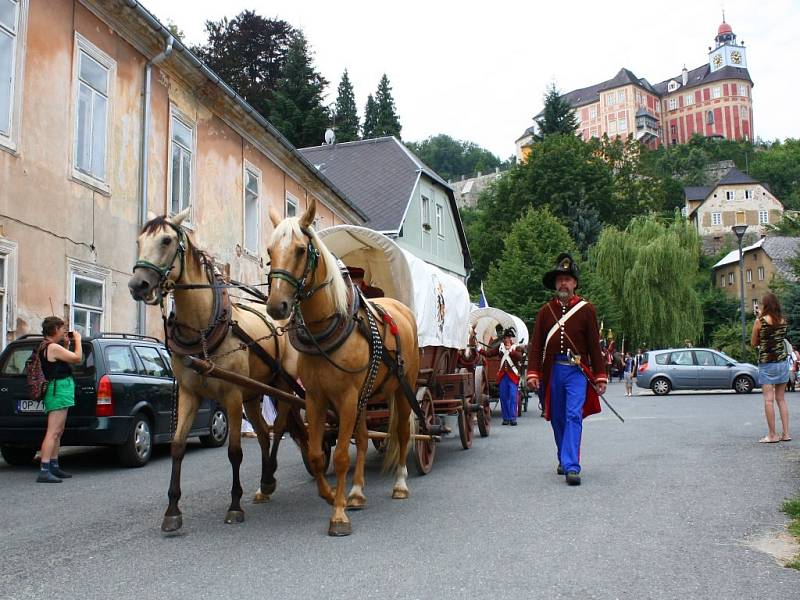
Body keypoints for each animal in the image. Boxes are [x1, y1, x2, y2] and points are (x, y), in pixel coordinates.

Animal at [128, 209, 304, 532]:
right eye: (139, 240)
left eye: (167, 240)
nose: (138, 285)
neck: (204, 328)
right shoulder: (189, 394)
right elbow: (177, 446)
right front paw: (172, 510)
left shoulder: (231, 396)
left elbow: (234, 451)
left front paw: (235, 505)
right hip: (253, 394)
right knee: (263, 432)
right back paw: (265, 482)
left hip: (280, 386)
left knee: (279, 426)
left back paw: (270, 476)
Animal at [266, 199, 422, 536]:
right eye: (270, 250)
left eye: (301, 250)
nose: (276, 306)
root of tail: (401, 308)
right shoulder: (316, 398)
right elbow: (316, 453)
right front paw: (329, 495)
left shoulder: (347, 398)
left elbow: (338, 456)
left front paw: (338, 516)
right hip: (365, 397)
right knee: (362, 439)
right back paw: (357, 492)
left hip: (403, 390)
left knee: (403, 433)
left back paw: (400, 484)